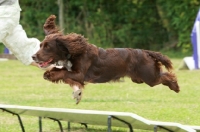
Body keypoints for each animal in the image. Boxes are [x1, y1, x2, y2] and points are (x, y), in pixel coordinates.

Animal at [32, 15, 179, 103]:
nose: (33, 56)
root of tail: (146, 52)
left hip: (149, 77)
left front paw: (49, 74)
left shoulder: (80, 74)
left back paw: (176, 87)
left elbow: (63, 72)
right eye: (40, 45)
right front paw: (49, 74)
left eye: (47, 47)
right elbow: (61, 71)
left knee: (167, 76)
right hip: (139, 79)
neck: (74, 53)